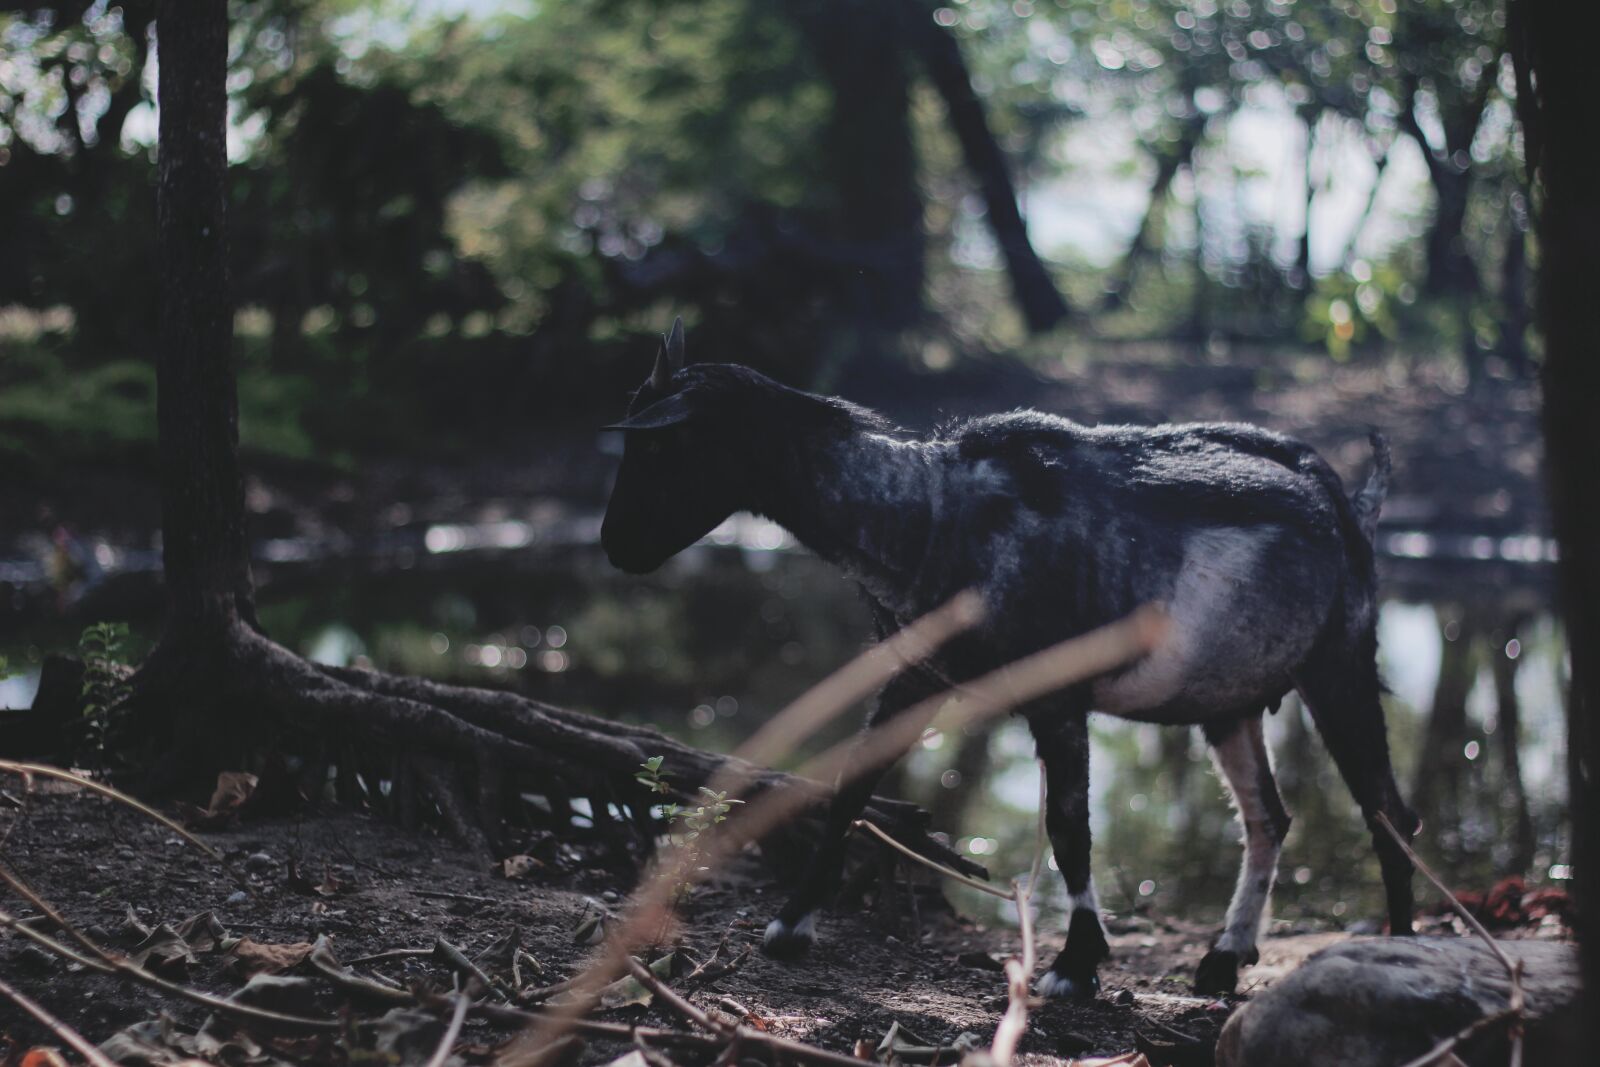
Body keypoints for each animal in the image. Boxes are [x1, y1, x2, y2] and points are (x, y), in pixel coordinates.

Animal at [600, 321, 1418, 999]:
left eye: (659, 446)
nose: (615, 548)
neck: (931, 513)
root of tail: (1345, 498)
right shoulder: (917, 674)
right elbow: (851, 783)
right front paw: (789, 924)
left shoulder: (1059, 694)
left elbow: (1067, 825)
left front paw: (1075, 966)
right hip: (1231, 699)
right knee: (1268, 817)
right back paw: (1223, 959)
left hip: (1339, 659)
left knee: (1388, 811)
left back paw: (1402, 948)